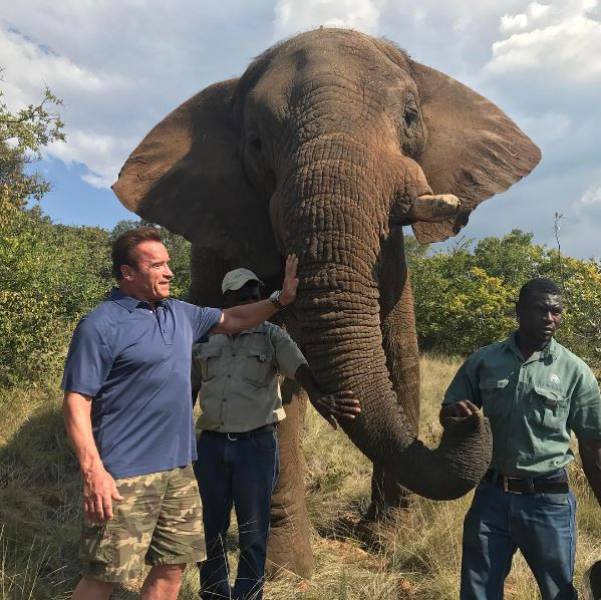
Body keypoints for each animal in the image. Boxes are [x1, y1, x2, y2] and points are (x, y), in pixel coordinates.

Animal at [112, 28, 541, 577]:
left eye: (410, 116)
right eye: (256, 144)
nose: (463, 413)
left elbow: (400, 359)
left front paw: (388, 539)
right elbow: (279, 393)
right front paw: (289, 572)